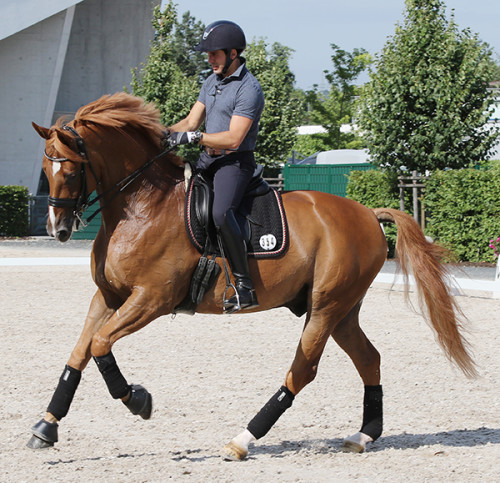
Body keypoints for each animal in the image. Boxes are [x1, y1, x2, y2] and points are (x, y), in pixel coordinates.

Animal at [30, 92, 476, 460]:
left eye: (70, 171)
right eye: (45, 170)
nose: (58, 229)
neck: (140, 206)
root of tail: (367, 212)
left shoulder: (152, 298)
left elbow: (100, 345)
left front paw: (138, 400)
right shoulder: (107, 297)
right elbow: (79, 353)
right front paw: (46, 427)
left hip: (325, 307)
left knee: (303, 371)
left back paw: (243, 440)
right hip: (343, 311)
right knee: (368, 358)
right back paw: (364, 435)